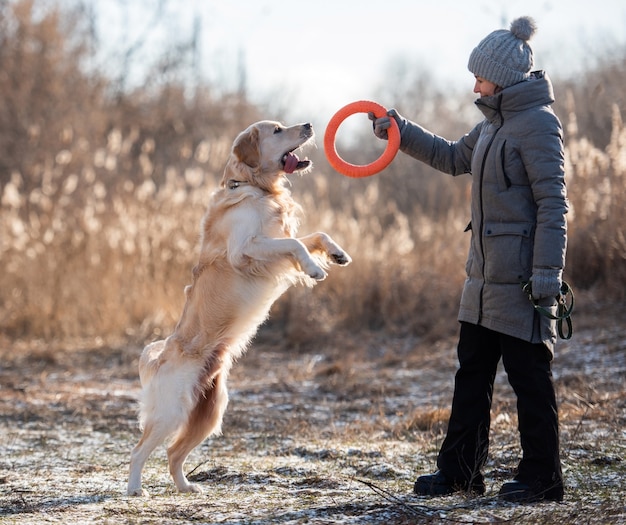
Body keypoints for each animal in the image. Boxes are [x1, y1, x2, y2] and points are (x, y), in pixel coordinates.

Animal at [127, 118, 352, 496]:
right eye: (277, 131)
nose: (309, 123)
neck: (256, 187)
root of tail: (159, 358)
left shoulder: (274, 239)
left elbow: (315, 235)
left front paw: (336, 253)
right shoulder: (246, 247)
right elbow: (295, 244)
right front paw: (314, 269)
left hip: (211, 412)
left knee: (173, 453)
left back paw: (188, 488)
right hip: (172, 412)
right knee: (139, 449)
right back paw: (134, 488)